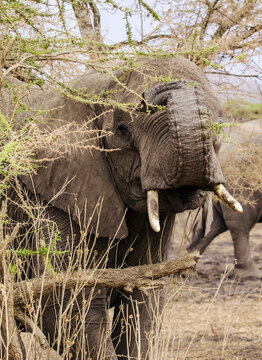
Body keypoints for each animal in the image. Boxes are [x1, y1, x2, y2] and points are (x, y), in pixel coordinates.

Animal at [0, 56, 242, 360]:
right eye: (123, 129)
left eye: (219, 126)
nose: (167, 87)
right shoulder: (50, 193)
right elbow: (66, 305)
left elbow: (143, 303)